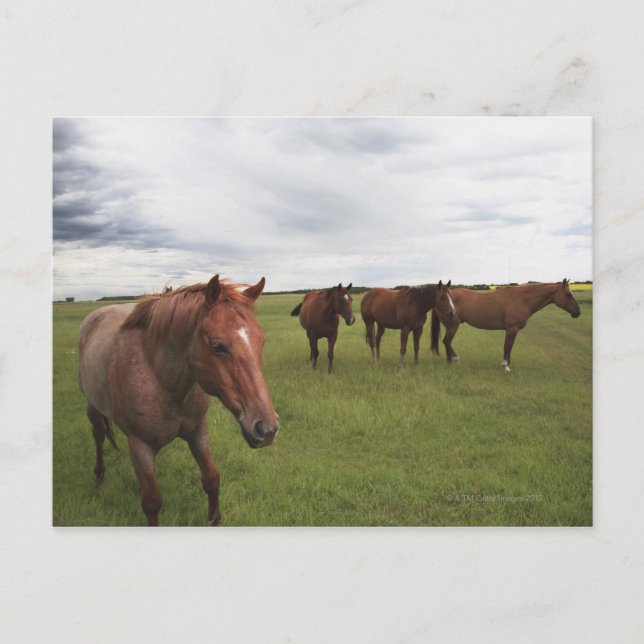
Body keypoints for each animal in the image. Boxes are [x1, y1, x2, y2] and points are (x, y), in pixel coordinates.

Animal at [77, 274, 279, 526]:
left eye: (261, 341)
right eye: (218, 347)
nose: (267, 429)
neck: (159, 377)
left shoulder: (198, 431)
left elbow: (211, 478)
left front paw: (214, 519)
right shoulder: (139, 444)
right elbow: (151, 502)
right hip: (92, 408)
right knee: (98, 436)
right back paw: (98, 476)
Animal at [431, 279, 581, 371]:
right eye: (568, 294)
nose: (577, 312)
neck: (522, 299)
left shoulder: (513, 330)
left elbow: (510, 347)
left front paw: (509, 363)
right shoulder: (511, 329)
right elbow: (507, 346)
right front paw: (505, 366)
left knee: (447, 342)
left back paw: (450, 362)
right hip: (453, 326)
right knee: (447, 341)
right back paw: (455, 359)